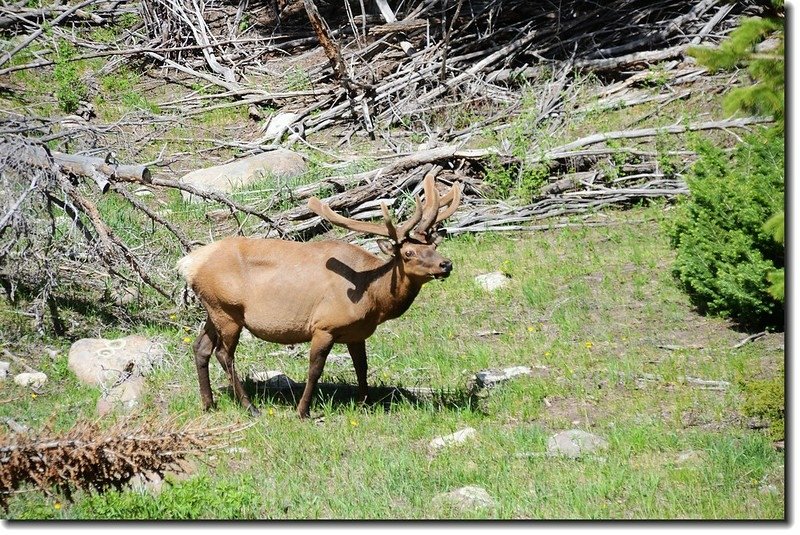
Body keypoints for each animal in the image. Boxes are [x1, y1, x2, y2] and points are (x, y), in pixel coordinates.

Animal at [177, 172, 462, 418]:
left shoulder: (356, 333)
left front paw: (365, 403)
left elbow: (362, 367)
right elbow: (315, 369)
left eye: (433, 246)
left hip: (213, 309)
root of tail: (187, 263)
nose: (446, 264)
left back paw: (208, 403)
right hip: (227, 311)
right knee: (224, 354)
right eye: (408, 253)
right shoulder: (324, 326)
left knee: (201, 347)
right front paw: (302, 411)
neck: (374, 299)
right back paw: (250, 407)